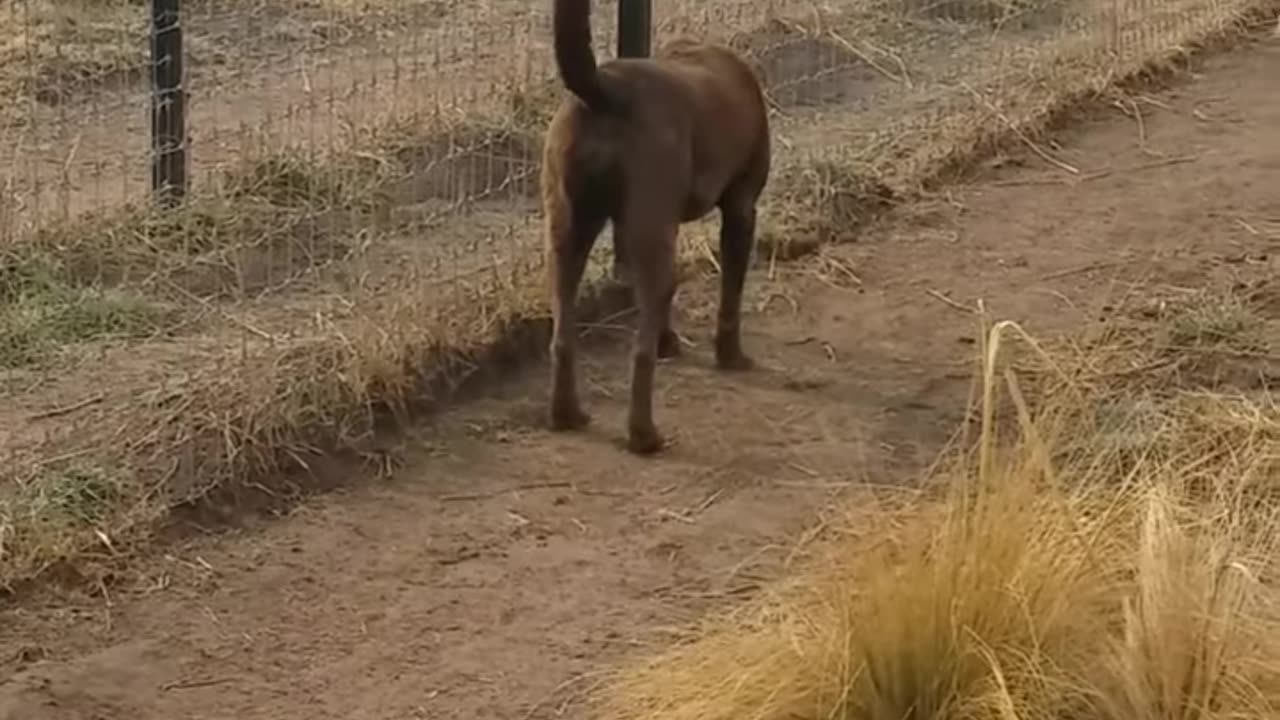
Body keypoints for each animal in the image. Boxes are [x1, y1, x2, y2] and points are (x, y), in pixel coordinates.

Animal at [540, 0, 768, 450]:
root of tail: (604, 88)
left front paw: (670, 341)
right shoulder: (741, 207)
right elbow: (730, 296)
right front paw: (730, 355)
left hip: (568, 231)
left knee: (563, 337)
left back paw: (567, 414)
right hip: (646, 226)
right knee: (639, 351)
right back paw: (644, 435)